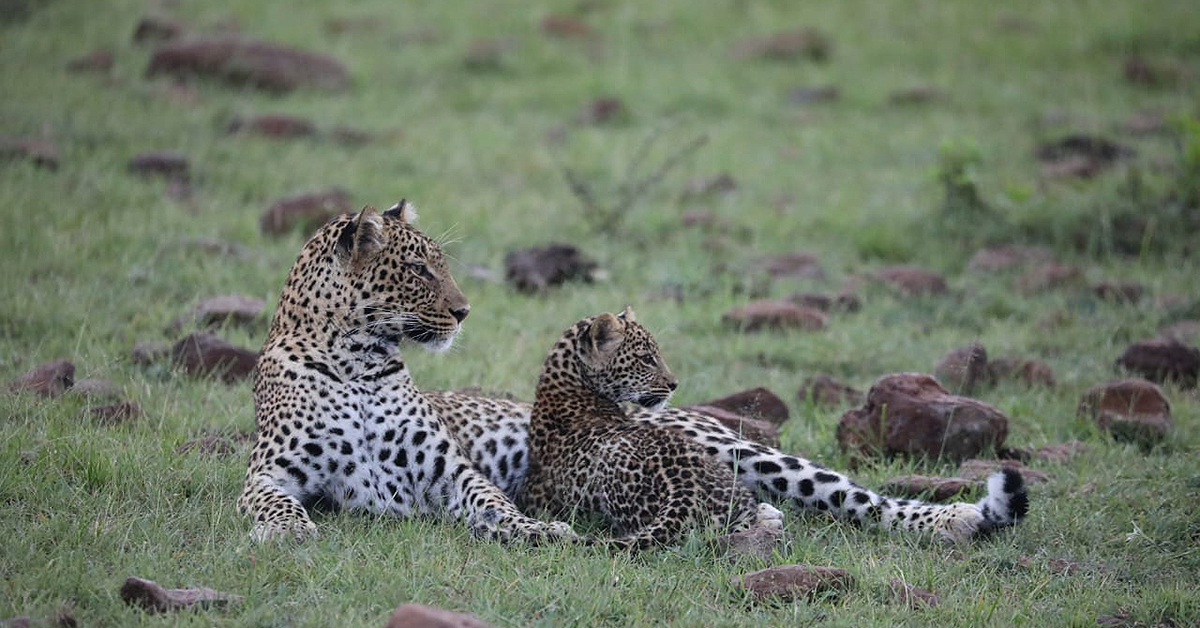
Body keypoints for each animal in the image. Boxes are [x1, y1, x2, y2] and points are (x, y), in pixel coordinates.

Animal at [237, 200, 575, 543]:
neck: (355, 363)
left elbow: (492, 500)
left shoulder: (450, 471)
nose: (464, 312)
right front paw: (289, 529)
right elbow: (277, 501)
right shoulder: (266, 473)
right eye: (418, 269)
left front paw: (538, 527)